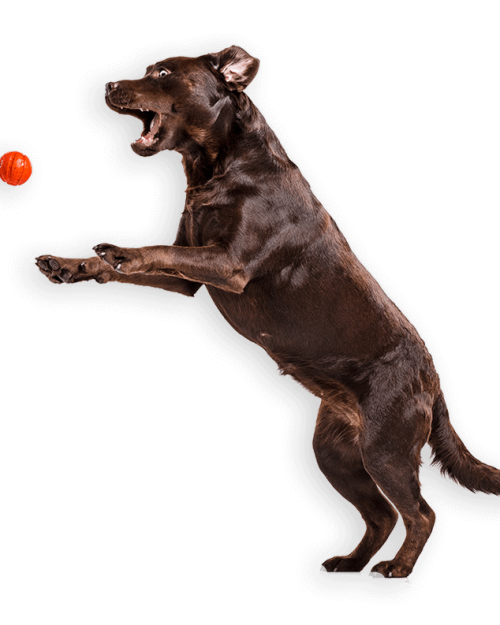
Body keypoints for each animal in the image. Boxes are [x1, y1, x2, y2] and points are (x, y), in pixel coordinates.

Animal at [33, 46, 498, 584]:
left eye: (163, 73)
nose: (109, 84)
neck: (217, 166)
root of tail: (432, 379)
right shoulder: (189, 276)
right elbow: (129, 265)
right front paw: (68, 265)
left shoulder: (228, 264)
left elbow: (148, 252)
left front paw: (118, 250)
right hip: (336, 453)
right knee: (381, 515)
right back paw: (350, 564)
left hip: (386, 448)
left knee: (421, 512)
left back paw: (395, 568)